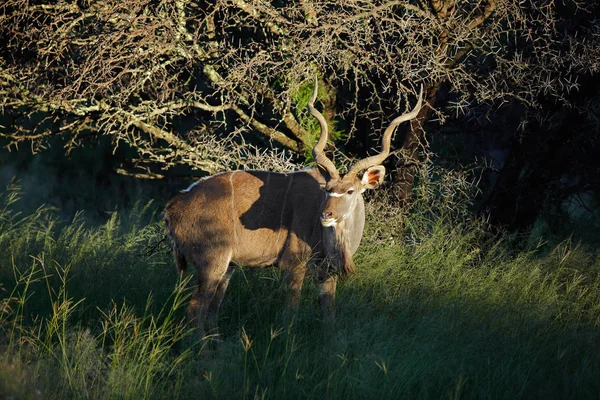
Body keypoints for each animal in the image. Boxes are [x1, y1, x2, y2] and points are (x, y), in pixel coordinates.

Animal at [164, 79, 422, 340]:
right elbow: (290, 313)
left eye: (350, 191)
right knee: (196, 309)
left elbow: (329, 313)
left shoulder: (326, 273)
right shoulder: (293, 265)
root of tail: (174, 206)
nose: (326, 215)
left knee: (211, 311)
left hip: (228, 268)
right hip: (212, 262)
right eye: (328, 189)